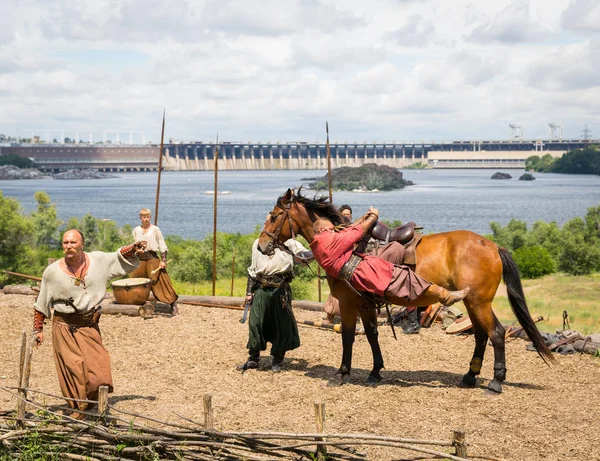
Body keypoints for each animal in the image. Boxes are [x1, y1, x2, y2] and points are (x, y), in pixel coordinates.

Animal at [258, 187, 552, 392]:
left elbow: (349, 337)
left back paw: (496, 381)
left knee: (496, 334)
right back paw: (470, 376)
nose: (261, 245)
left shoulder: (349, 303)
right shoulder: (365, 303)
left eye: (274, 216)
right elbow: (372, 335)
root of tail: (492, 246)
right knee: (481, 335)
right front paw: (375, 371)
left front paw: (342, 373)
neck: (342, 242)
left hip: (480, 302)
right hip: (473, 302)